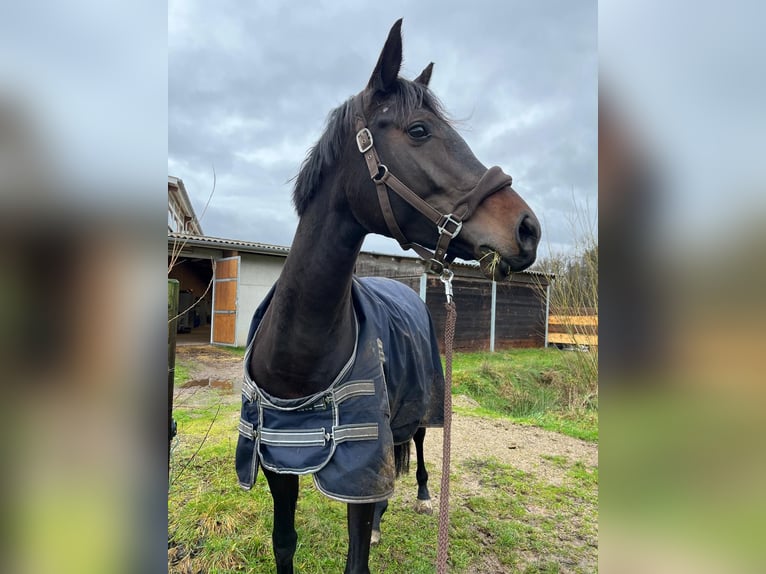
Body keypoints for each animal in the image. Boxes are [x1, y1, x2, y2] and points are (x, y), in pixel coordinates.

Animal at [237, 19, 544, 574]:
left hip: (421, 405)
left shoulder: (360, 465)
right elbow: (284, 542)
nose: (528, 229)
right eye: (419, 130)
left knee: (417, 445)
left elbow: (356, 557)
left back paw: (421, 495)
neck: (297, 360)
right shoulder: (276, 465)